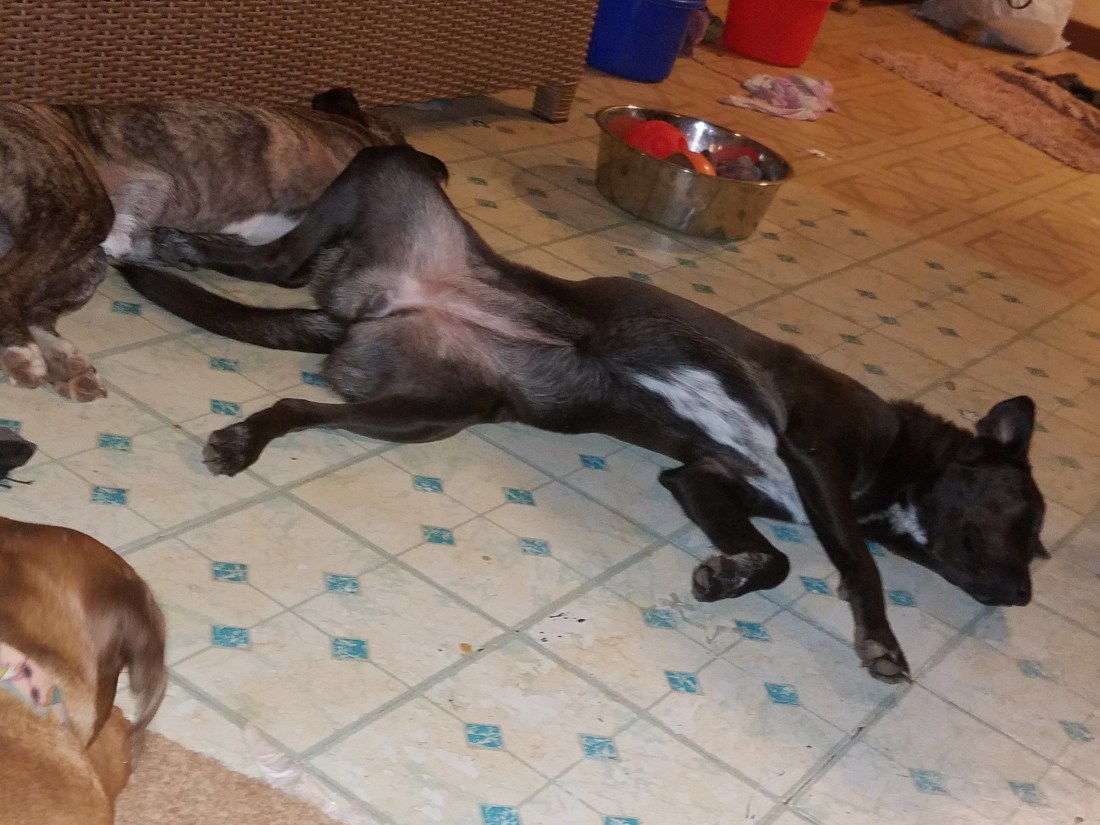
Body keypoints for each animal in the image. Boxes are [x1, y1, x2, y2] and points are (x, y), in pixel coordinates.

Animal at [0, 87, 415, 401]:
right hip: (80, 206)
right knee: (9, 284)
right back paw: (22, 352)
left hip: (86, 254)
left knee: (34, 307)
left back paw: (67, 363)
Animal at [119, 145, 1047, 682]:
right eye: (1027, 515)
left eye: (1035, 539)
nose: (1024, 596)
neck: (899, 466)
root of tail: (362, 306)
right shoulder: (817, 446)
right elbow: (858, 563)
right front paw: (880, 639)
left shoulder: (700, 479)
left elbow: (776, 558)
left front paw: (728, 575)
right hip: (396, 173)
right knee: (276, 261)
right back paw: (182, 246)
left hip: (434, 407)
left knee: (298, 394)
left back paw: (248, 430)